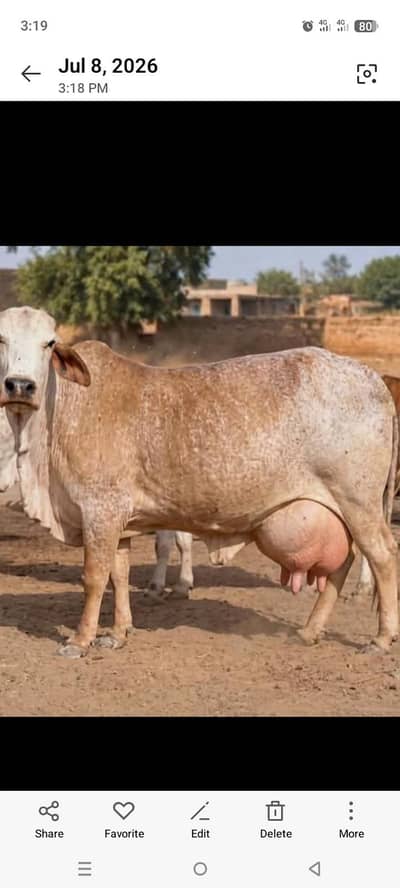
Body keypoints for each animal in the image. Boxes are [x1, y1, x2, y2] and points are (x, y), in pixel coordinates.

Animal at [0, 306, 398, 659]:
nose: (20, 386)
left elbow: (95, 577)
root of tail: (373, 378)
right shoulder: (118, 519)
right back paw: (311, 629)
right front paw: (117, 633)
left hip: (358, 501)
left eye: (49, 342)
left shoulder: (100, 509)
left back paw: (381, 638)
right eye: (1, 339)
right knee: (344, 561)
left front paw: (80, 640)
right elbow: (120, 574)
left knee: (382, 556)